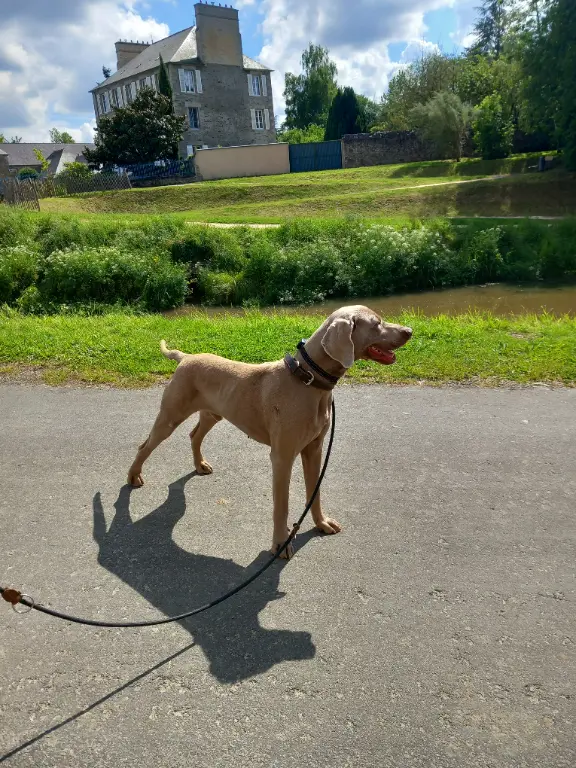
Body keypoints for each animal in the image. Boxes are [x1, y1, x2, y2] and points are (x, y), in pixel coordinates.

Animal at [128, 304, 412, 560]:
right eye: (376, 323)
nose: (409, 330)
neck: (307, 380)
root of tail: (185, 357)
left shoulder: (314, 449)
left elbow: (315, 491)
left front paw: (321, 523)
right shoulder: (282, 457)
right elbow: (281, 506)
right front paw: (280, 544)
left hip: (212, 413)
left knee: (194, 435)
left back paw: (199, 465)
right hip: (170, 416)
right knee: (145, 445)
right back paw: (134, 476)